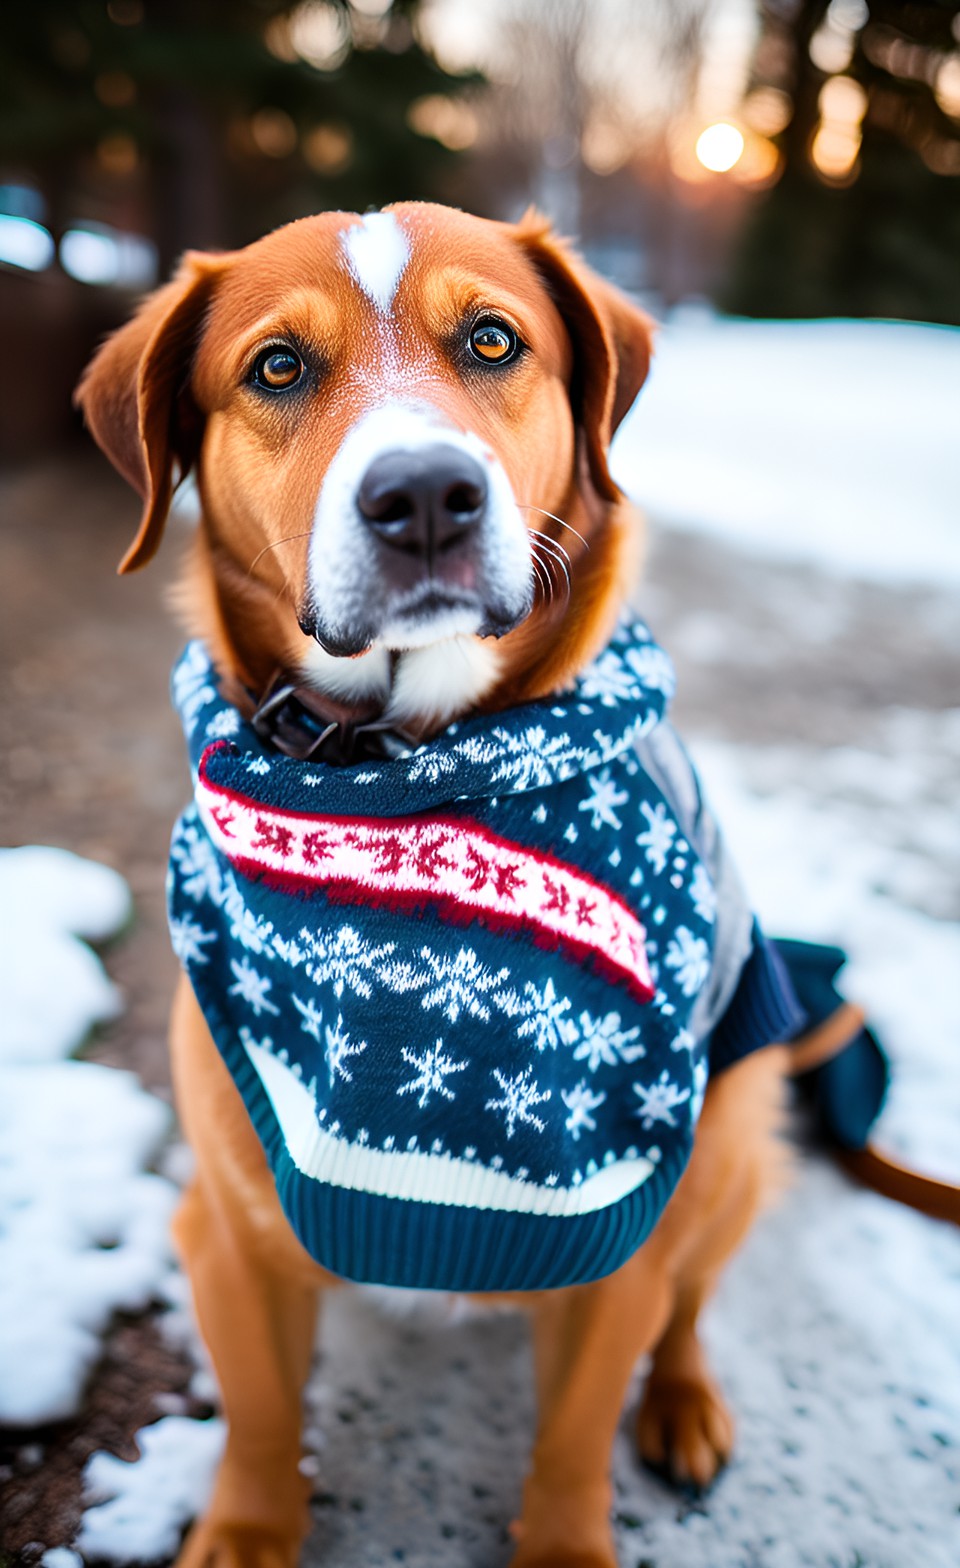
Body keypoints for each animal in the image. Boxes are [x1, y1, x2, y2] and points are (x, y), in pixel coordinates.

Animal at [74, 205, 793, 1568]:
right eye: (278, 367)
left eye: (494, 340)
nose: (422, 495)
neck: (406, 769)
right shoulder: (228, 1228)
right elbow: (258, 1415)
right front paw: (246, 1528)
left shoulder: (618, 1234)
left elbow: (572, 1442)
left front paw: (565, 1539)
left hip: (730, 1131)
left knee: (691, 1305)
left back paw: (684, 1401)